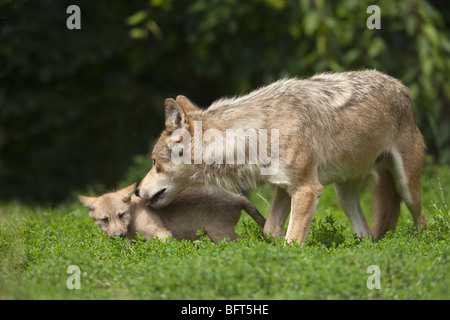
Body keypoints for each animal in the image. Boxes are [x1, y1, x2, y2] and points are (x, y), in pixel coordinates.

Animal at [136, 70, 426, 244]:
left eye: (154, 162)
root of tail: (401, 86)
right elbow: (271, 229)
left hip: (406, 186)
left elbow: (293, 239)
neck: (260, 132)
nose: (137, 192)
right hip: (344, 195)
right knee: (364, 233)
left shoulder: (307, 189)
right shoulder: (284, 187)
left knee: (420, 221)